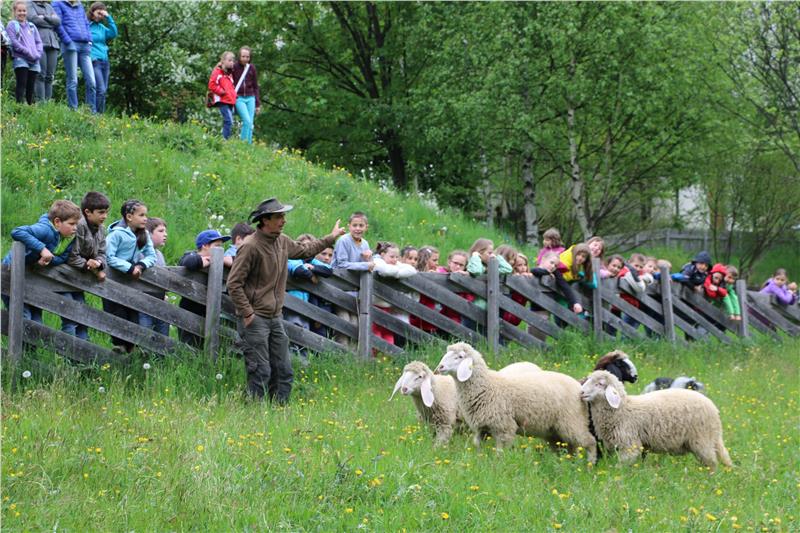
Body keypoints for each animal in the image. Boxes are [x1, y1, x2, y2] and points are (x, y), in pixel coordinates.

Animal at [389, 360, 541, 446]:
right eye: (404, 375)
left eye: (419, 376)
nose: (404, 389)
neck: (437, 390)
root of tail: (533, 365)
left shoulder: (445, 424)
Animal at [434, 342, 597, 463]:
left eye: (460, 356)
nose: (440, 367)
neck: (487, 386)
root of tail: (580, 387)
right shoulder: (482, 428)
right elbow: (479, 447)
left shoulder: (504, 427)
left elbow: (500, 453)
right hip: (555, 431)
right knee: (570, 449)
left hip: (573, 422)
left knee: (590, 442)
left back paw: (589, 466)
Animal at [581, 370, 731, 469]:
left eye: (600, 384)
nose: (581, 392)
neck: (622, 409)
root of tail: (713, 409)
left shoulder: (629, 444)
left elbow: (621, 466)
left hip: (702, 439)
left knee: (712, 463)